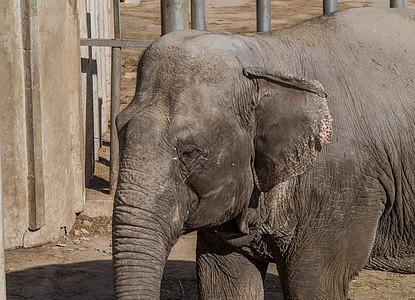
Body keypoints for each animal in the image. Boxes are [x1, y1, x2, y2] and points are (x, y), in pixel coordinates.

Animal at [112, 7, 415, 300]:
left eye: (189, 153)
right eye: (118, 129)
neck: (265, 57)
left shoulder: (342, 187)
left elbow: (313, 284)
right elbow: (224, 282)